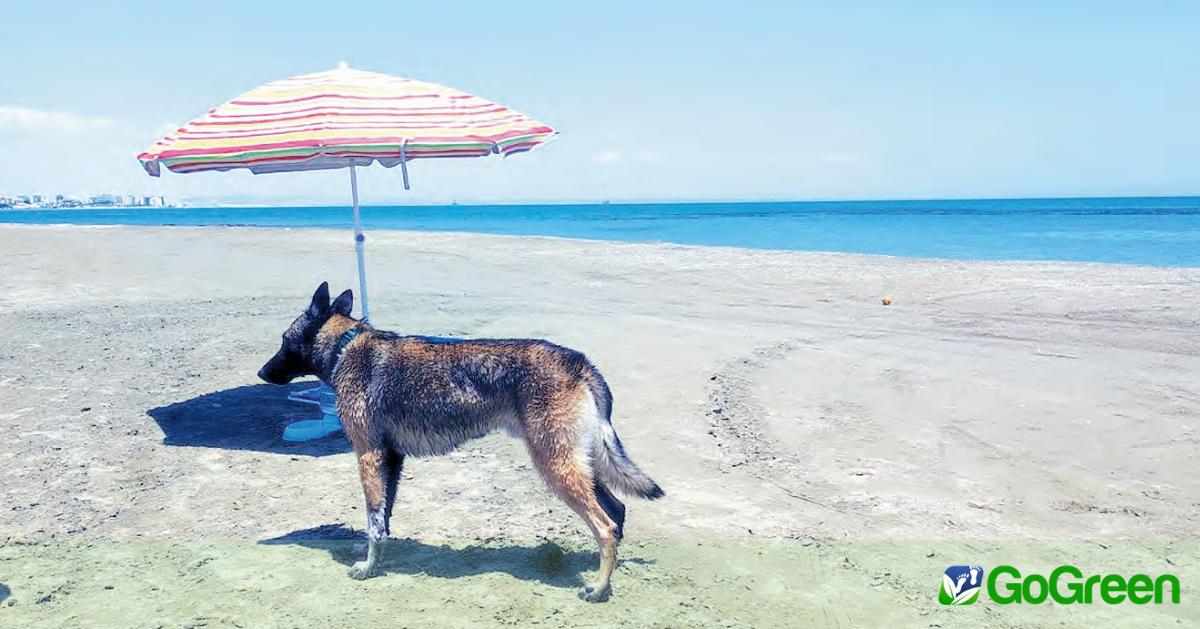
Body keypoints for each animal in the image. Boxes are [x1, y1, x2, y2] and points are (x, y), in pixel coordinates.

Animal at [259, 283, 667, 600]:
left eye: (283, 341)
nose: (261, 372)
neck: (347, 345)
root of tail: (581, 363)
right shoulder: (391, 459)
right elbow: (383, 520)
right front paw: (378, 558)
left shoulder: (369, 456)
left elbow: (374, 519)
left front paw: (368, 567)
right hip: (578, 465)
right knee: (617, 513)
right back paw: (603, 575)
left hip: (556, 467)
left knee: (606, 526)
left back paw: (597, 589)